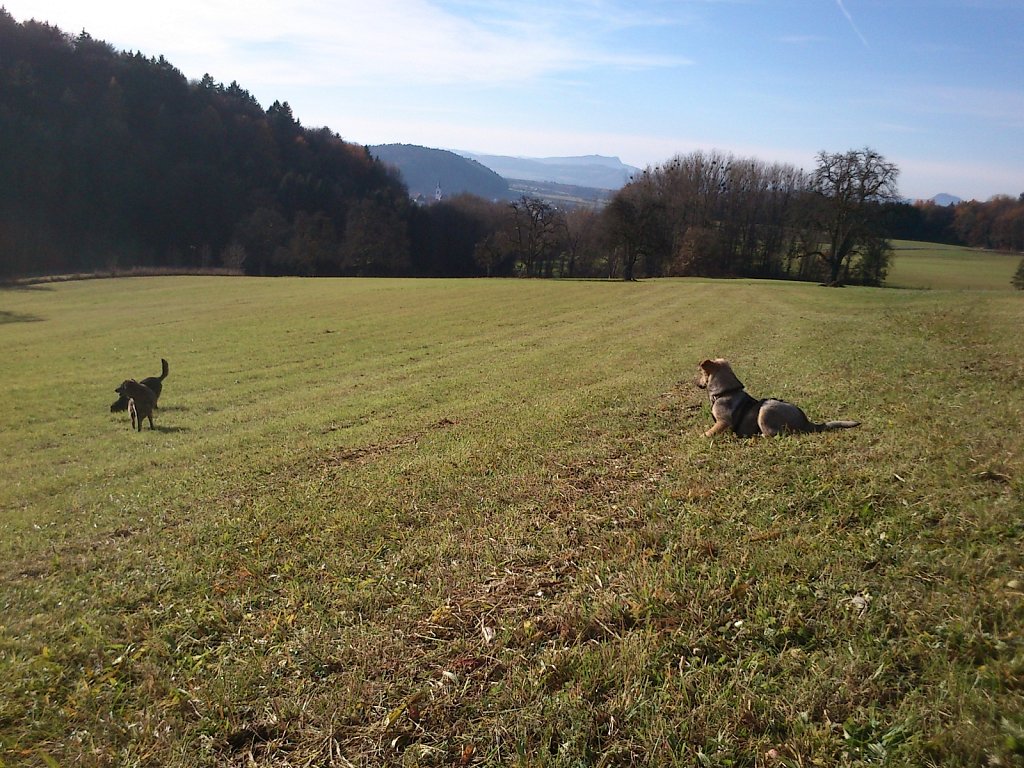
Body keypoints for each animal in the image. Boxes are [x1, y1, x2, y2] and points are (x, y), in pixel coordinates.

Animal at [696, 360, 856, 438]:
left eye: (701, 373)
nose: (696, 383)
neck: (725, 392)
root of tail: (806, 423)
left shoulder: (724, 422)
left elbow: (709, 433)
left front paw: (701, 437)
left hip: (765, 410)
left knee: (774, 434)